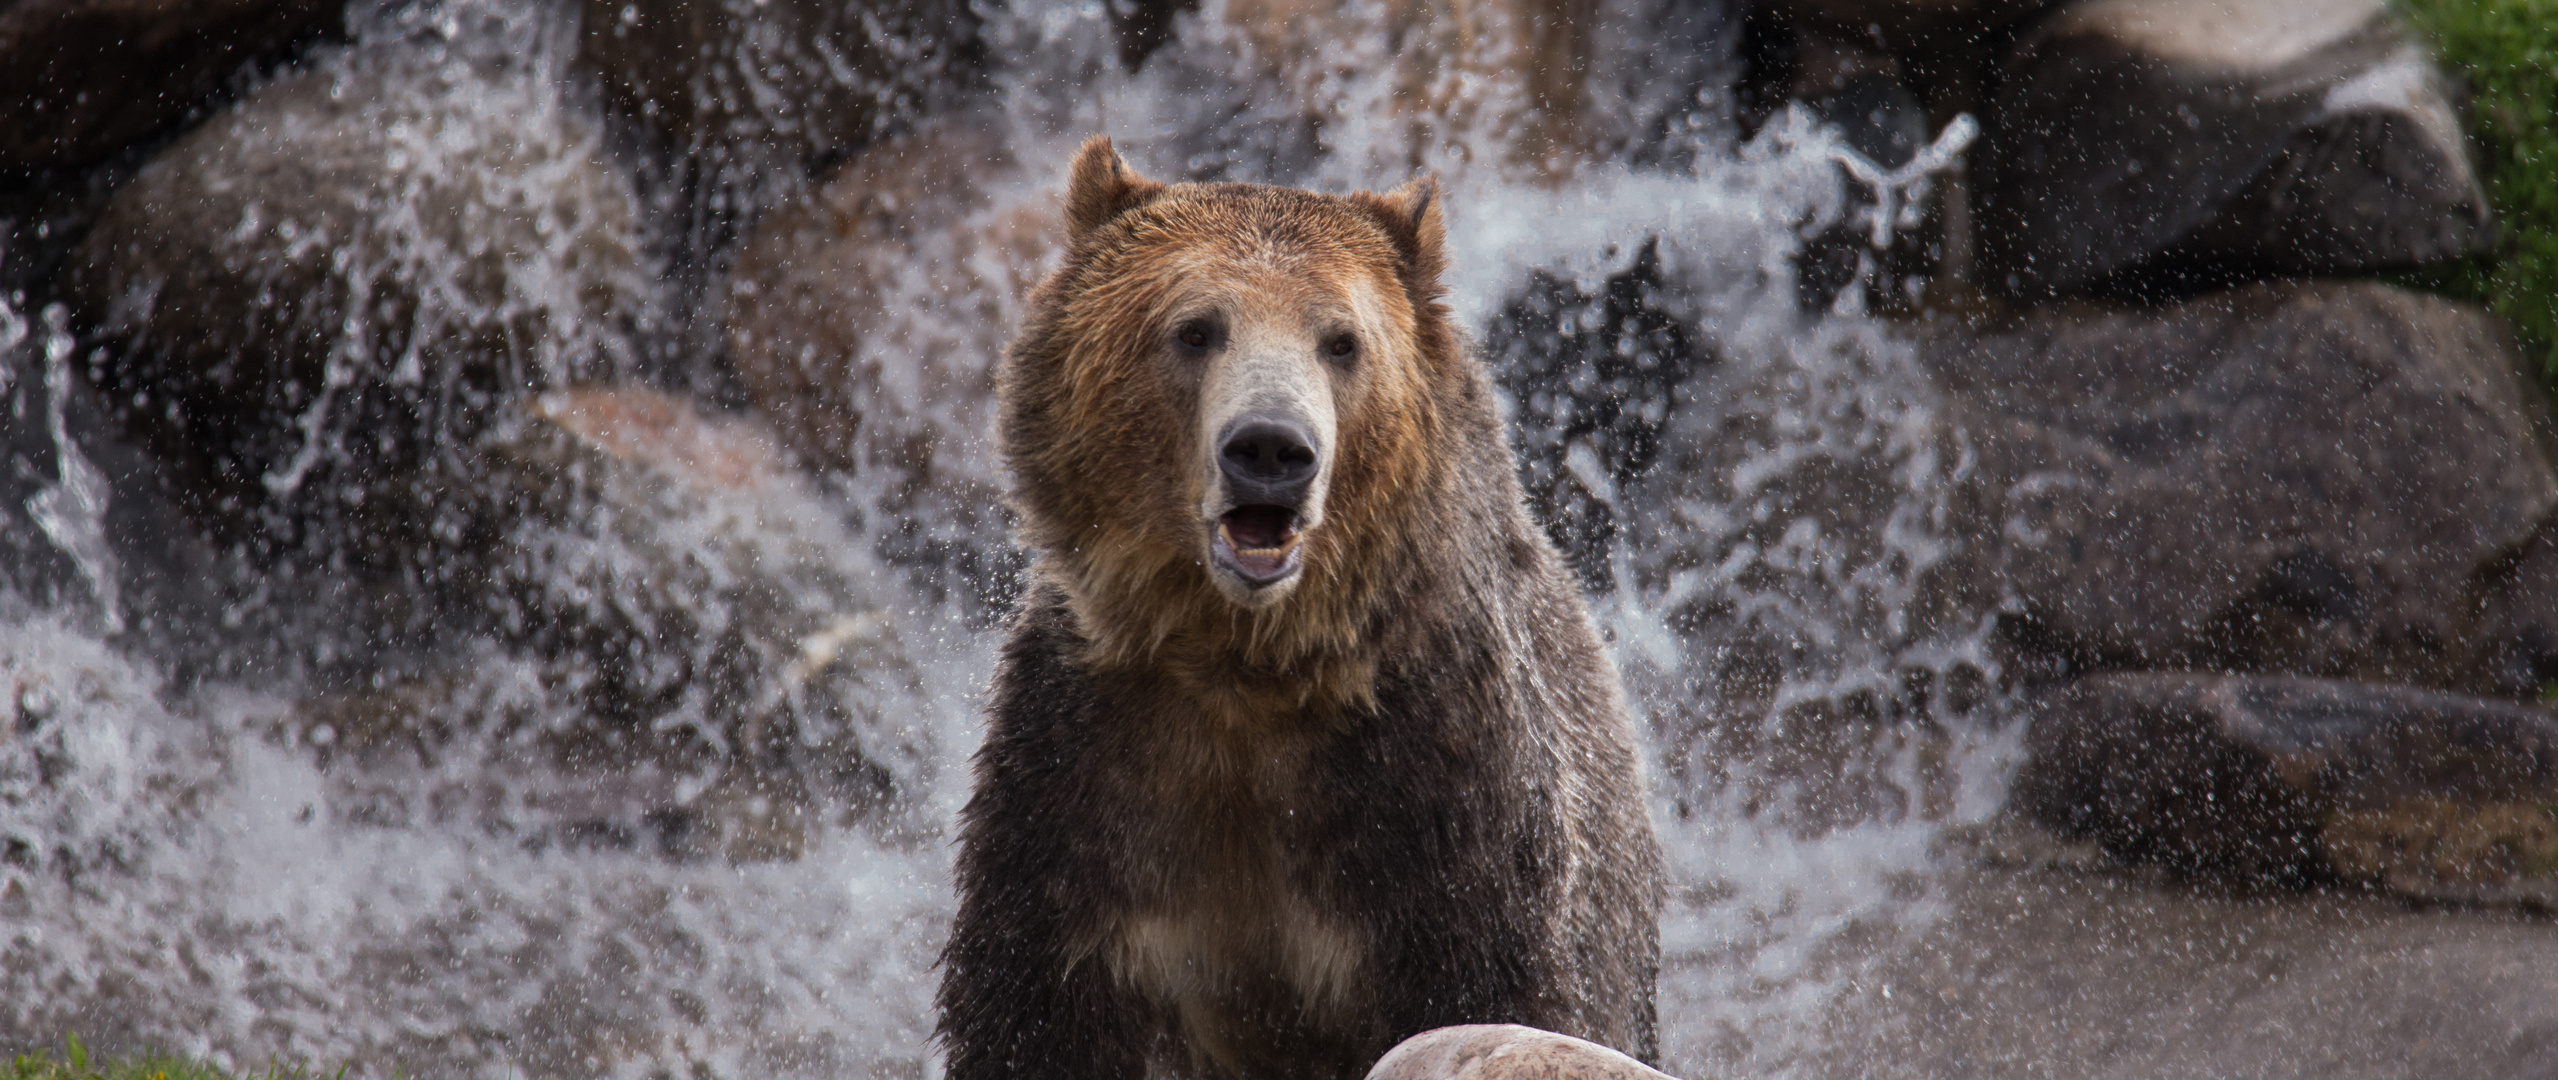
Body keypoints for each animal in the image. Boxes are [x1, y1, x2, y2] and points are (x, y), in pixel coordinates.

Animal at [936, 139, 1657, 1080]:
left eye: (1341, 340)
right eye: (1195, 327)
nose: (1271, 449)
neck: (1251, 664)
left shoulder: (1441, 790)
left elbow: (1492, 979)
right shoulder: (1088, 774)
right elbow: (1038, 1009)